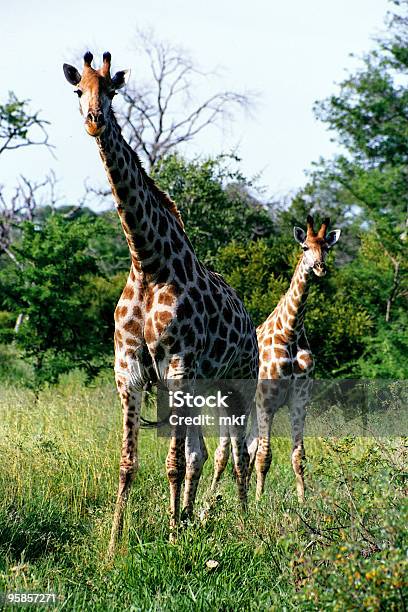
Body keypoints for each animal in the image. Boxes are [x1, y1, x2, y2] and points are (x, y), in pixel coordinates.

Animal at [61, 51, 256, 556]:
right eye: (78, 90)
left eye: (112, 91)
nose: (93, 120)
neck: (147, 262)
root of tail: (251, 321)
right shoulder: (128, 370)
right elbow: (130, 462)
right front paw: (116, 546)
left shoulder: (177, 364)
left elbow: (172, 461)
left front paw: (170, 540)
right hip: (202, 389)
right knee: (202, 452)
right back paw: (192, 517)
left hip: (238, 385)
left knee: (239, 453)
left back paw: (243, 520)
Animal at [249, 218, 342, 500]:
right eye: (304, 247)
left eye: (327, 248)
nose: (320, 267)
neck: (290, 332)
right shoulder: (265, 402)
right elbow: (265, 456)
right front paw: (258, 502)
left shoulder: (300, 400)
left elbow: (298, 456)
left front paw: (303, 502)